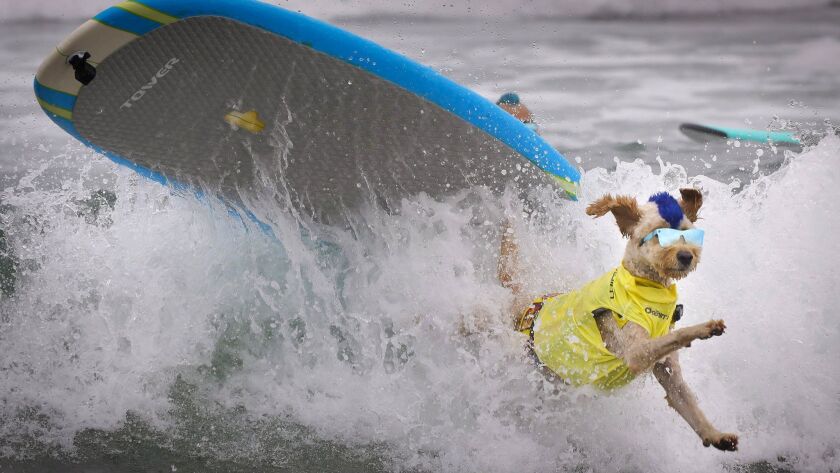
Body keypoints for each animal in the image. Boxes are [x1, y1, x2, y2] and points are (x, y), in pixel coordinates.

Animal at [502, 187, 740, 450]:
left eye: (687, 233)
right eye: (659, 233)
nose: (687, 256)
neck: (646, 287)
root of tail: (526, 306)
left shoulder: (671, 375)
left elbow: (686, 401)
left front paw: (715, 435)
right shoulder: (637, 352)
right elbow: (676, 335)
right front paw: (703, 328)